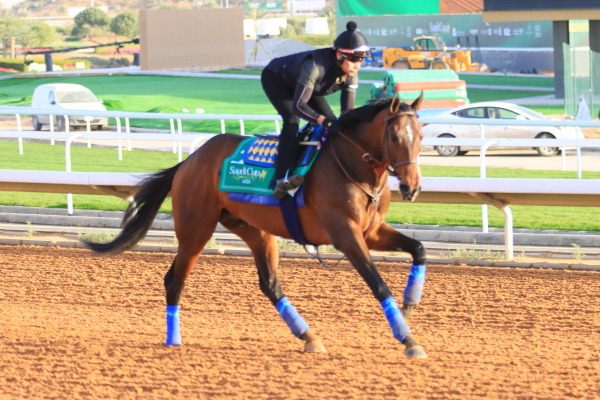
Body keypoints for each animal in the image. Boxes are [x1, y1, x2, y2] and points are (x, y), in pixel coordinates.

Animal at [85, 94, 432, 360]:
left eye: (421, 136)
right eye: (394, 136)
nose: (411, 188)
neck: (353, 169)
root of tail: (189, 161)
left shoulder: (370, 232)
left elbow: (418, 249)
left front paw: (409, 306)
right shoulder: (345, 234)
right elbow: (378, 283)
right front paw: (408, 338)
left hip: (256, 230)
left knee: (269, 284)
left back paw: (308, 336)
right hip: (196, 229)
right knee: (174, 279)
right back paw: (174, 339)